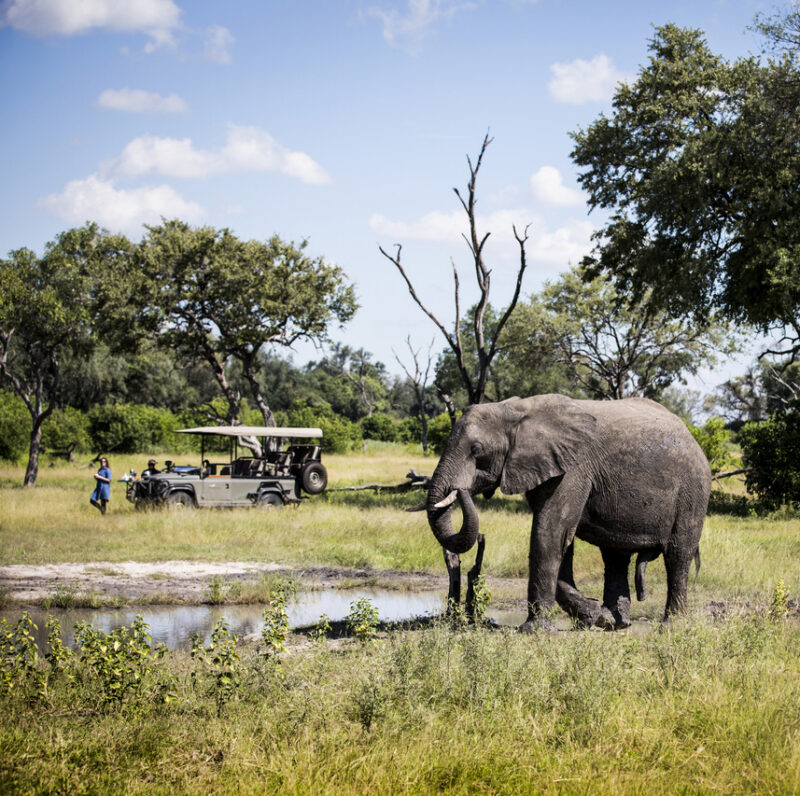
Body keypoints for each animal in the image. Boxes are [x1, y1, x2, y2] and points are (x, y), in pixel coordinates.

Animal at [424, 395, 711, 631]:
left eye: (476, 450)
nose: (461, 491)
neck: (516, 410)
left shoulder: (573, 469)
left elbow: (549, 534)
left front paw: (534, 631)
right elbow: (561, 540)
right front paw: (592, 615)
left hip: (693, 492)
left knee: (677, 555)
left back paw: (671, 627)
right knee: (615, 555)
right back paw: (616, 623)